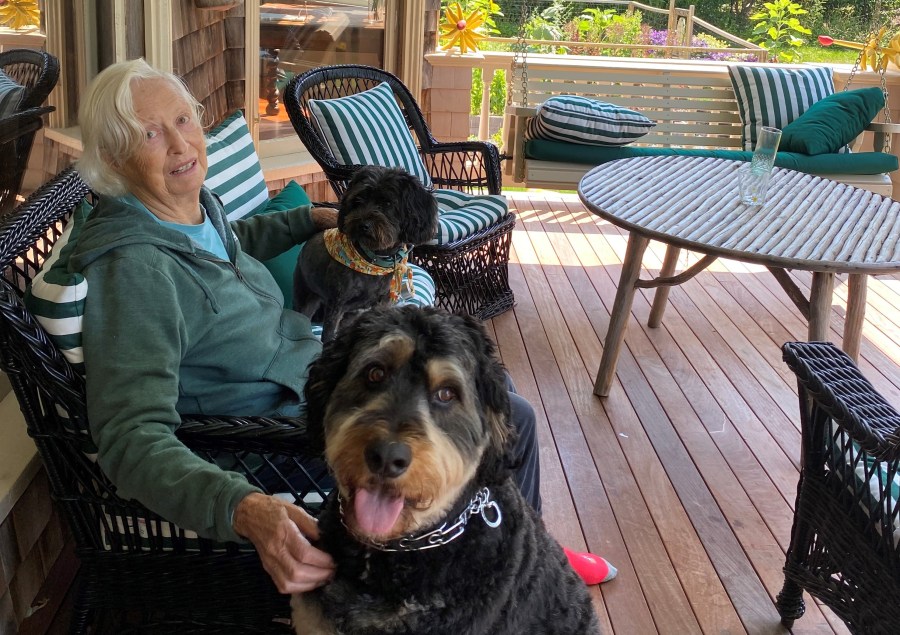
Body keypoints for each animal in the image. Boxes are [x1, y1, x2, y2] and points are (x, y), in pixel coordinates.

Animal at [292, 166, 439, 342]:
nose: (363, 225)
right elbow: (328, 335)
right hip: (306, 296)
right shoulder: (336, 303)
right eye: (357, 201)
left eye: (387, 203)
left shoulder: (381, 302)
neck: (372, 260)